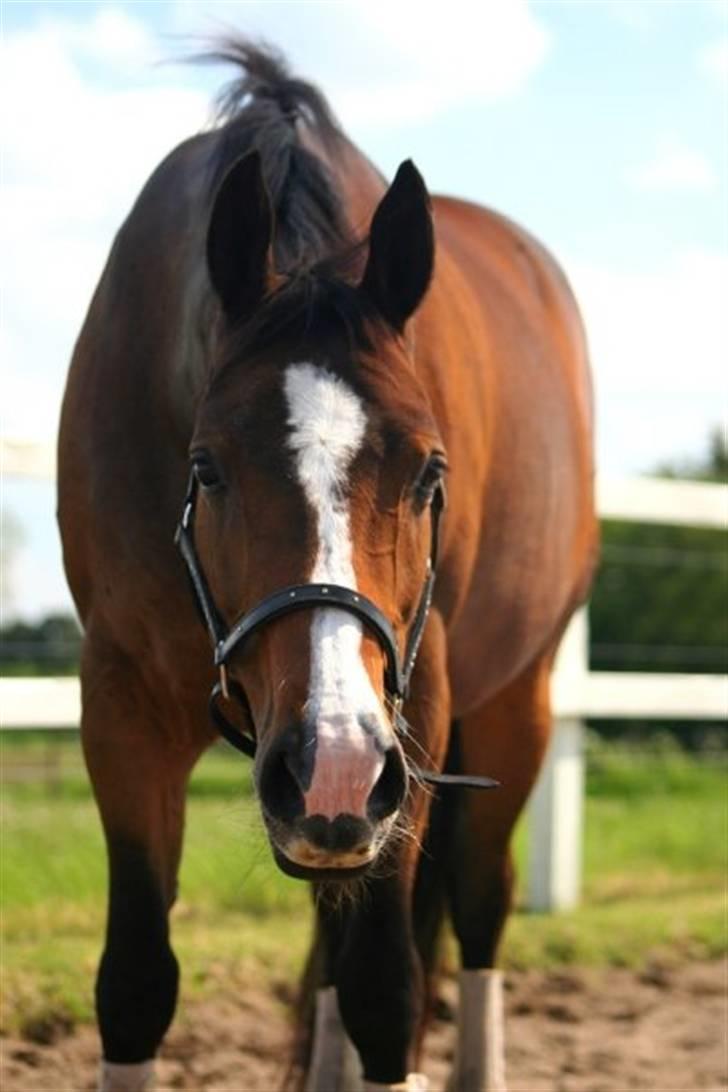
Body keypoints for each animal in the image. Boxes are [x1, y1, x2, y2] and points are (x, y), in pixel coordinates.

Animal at [58, 40, 598, 1092]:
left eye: (431, 471)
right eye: (206, 468)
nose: (338, 766)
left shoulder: (412, 704)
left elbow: (385, 988)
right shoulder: (121, 701)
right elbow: (135, 982)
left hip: (511, 700)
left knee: (479, 903)